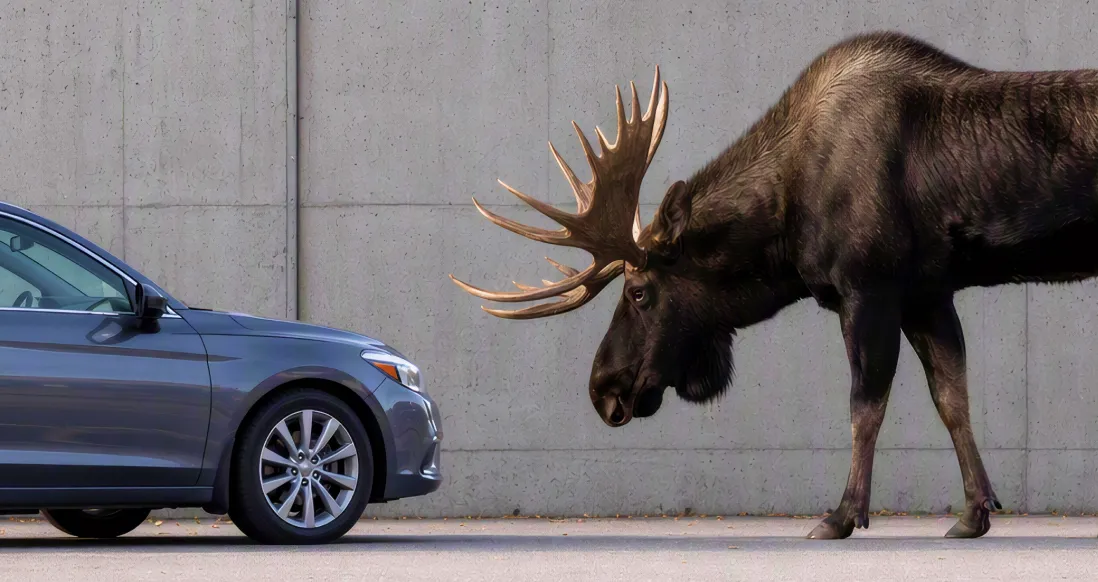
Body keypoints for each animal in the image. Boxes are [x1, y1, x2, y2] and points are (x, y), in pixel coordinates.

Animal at [449, 30, 1098, 539]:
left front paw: (841, 516)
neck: (785, 226)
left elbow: (866, 406)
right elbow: (952, 399)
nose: (602, 389)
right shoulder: (929, 293)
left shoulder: (869, 289)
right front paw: (974, 512)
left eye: (638, 292)